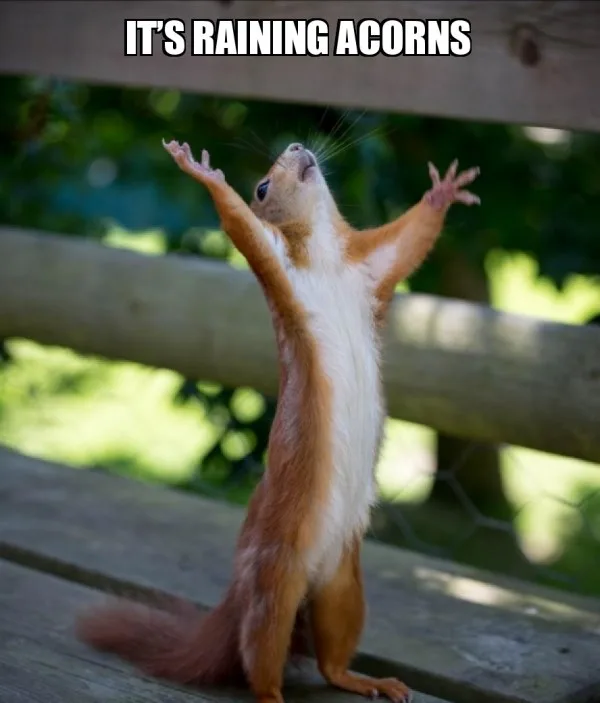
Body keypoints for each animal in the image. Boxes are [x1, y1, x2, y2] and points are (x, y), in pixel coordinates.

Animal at [76, 139, 480, 703]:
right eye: (262, 187)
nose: (296, 146)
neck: (328, 260)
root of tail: (238, 595)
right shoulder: (278, 267)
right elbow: (241, 226)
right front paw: (203, 173)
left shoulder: (371, 268)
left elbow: (410, 239)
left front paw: (442, 192)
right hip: (274, 583)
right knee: (259, 657)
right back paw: (273, 693)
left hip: (343, 586)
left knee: (331, 659)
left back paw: (367, 679)